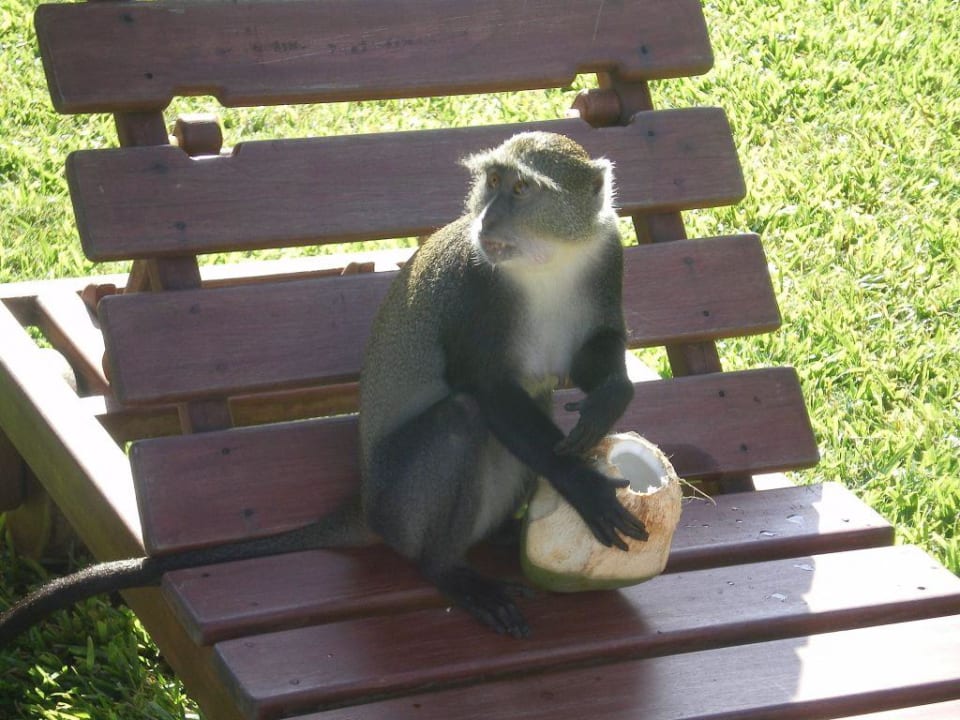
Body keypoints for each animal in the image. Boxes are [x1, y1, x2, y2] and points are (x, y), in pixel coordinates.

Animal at [0, 131, 646, 645]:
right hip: (400, 502)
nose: (486, 220)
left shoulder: (606, 254)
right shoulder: (476, 287)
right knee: (464, 419)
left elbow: (597, 349)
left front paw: (612, 398)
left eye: (520, 189)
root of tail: (365, 506)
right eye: (491, 183)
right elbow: (485, 389)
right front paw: (584, 486)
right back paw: (448, 571)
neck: (548, 260)